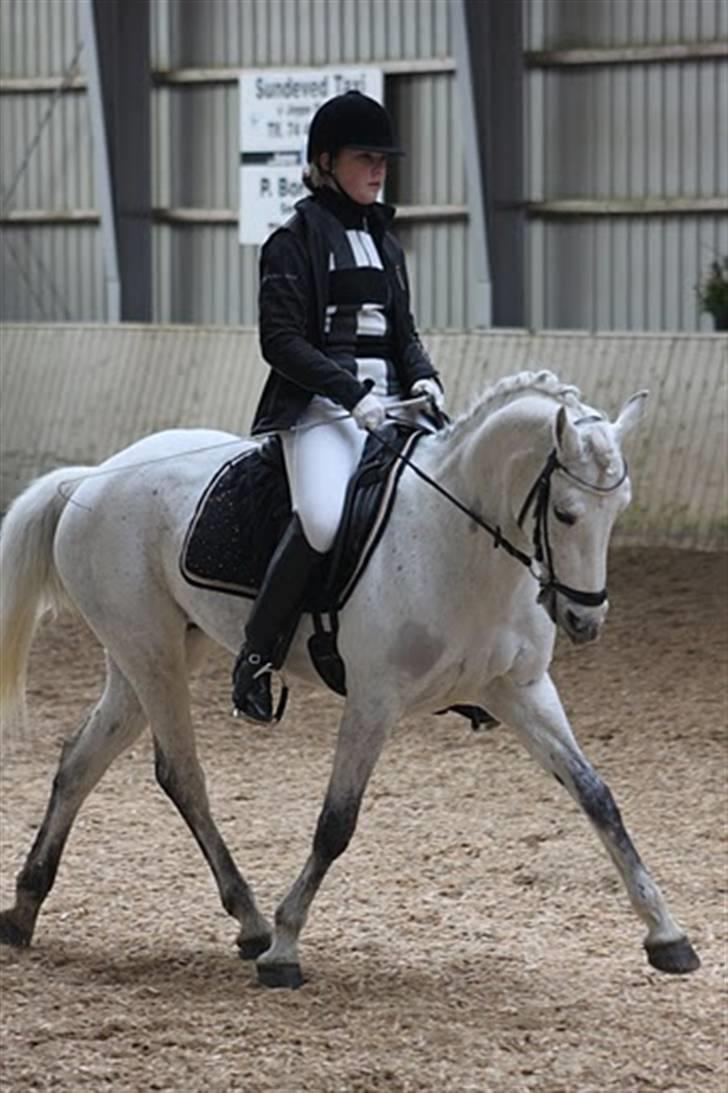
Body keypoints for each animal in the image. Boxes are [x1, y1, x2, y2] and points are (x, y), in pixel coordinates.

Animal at [0, 369, 700, 988]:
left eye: (621, 508)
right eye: (568, 512)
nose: (586, 619)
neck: (461, 542)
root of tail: (93, 476)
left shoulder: (522, 691)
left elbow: (596, 796)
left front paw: (666, 934)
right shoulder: (374, 699)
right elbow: (337, 821)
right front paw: (285, 947)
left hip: (147, 655)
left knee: (81, 761)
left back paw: (26, 909)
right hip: (153, 655)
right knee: (182, 776)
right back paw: (253, 921)